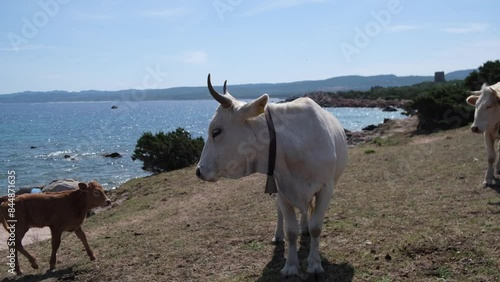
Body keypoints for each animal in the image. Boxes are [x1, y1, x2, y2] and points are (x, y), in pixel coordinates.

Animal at [196, 74, 348, 276]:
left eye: (216, 131)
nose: (199, 170)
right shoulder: (282, 190)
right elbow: (291, 231)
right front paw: (290, 266)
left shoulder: (326, 188)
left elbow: (316, 227)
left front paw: (315, 264)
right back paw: (279, 235)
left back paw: (305, 228)